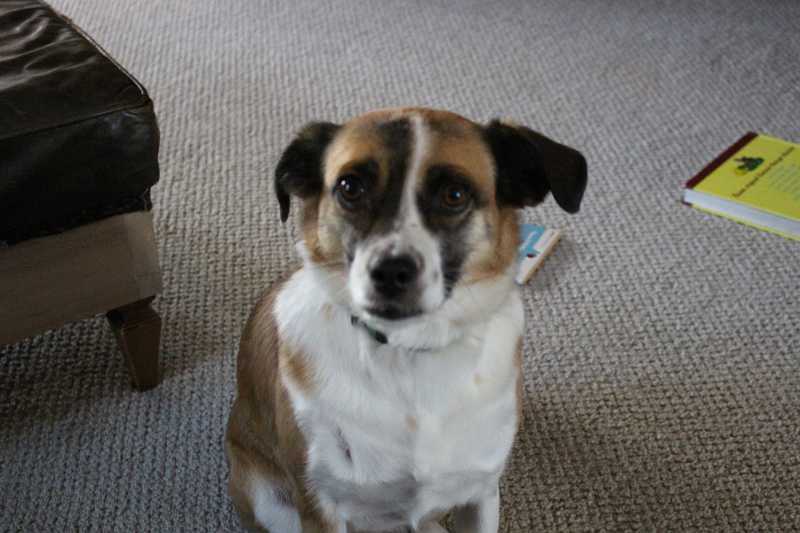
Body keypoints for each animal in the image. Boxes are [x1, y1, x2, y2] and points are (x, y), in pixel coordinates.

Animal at [225, 108, 587, 533]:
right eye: (349, 187)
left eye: (454, 194)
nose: (390, 271)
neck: (409, 351)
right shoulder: (318, 505)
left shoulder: (481, 491)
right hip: (267, 498)